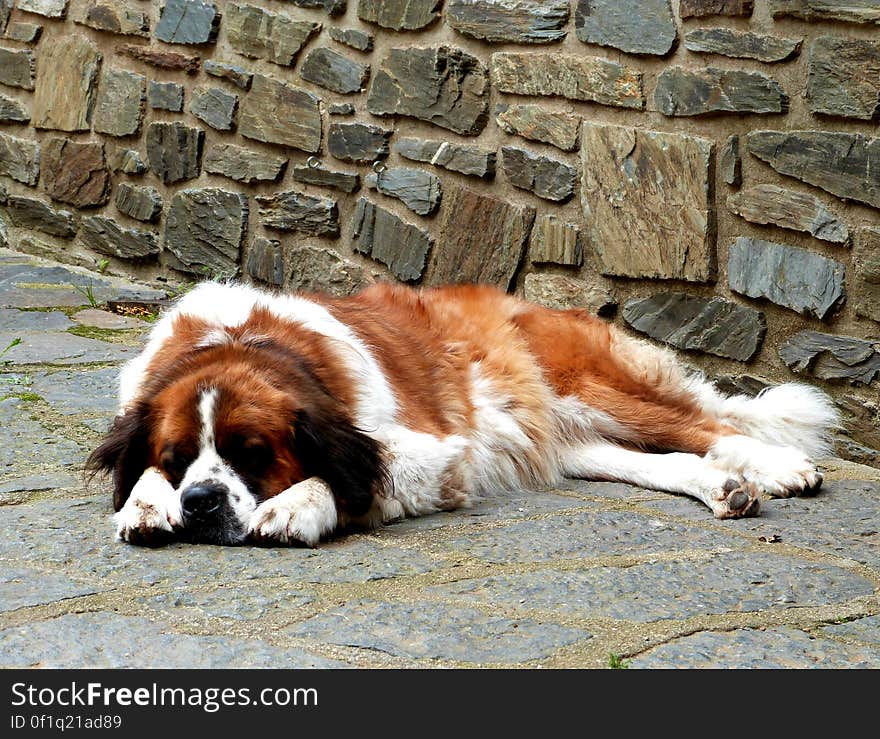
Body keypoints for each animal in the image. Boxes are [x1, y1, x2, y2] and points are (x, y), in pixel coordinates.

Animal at [87, 280, 840, 548]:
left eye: (252, 453)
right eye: (177, 459)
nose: (202, 502)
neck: (244, 340)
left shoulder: (432, 452)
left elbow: (348, 481)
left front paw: (298, 507)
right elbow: (132, 478)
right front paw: (147, 503)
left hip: (586, 387)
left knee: (712, 426)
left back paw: (779, 466)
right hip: (563, 438)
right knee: (670, 460)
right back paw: (724, 488)